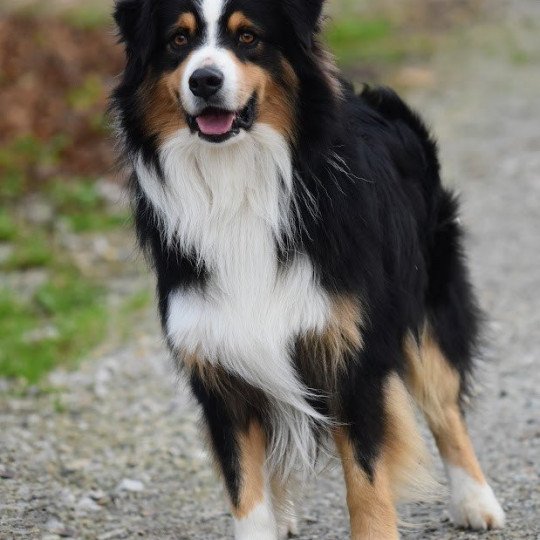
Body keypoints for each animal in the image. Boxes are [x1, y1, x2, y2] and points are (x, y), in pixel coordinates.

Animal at [110, 0, 506, 536]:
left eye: (249, 37)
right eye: (178, 40)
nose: (205, 80)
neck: (238, 184)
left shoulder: (352, 355)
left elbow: (366, 479)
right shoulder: (219, 363)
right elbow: (245, 488)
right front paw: (265, 520)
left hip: (426, 299)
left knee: (445, 406)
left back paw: (476, 501)